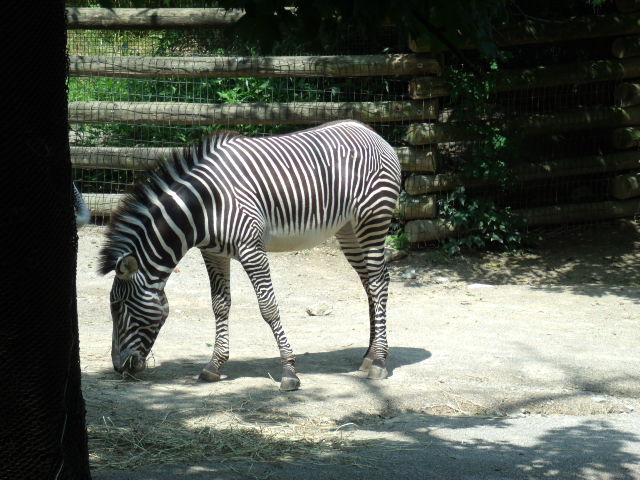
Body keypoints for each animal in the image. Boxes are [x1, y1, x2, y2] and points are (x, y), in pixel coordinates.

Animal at [98, 120, 401, 391]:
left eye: (119, 307)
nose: (118, 367)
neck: (205, 206)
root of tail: (371, 132)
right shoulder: (213, 253)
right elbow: (220, 305)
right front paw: (214, 365)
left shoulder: (252, 249)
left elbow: (268, 307)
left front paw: (289, 371)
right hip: (349, 230)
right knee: (369, 283)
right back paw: (369, 355)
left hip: (373, 221)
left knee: (378, 282)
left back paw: (379, 362)